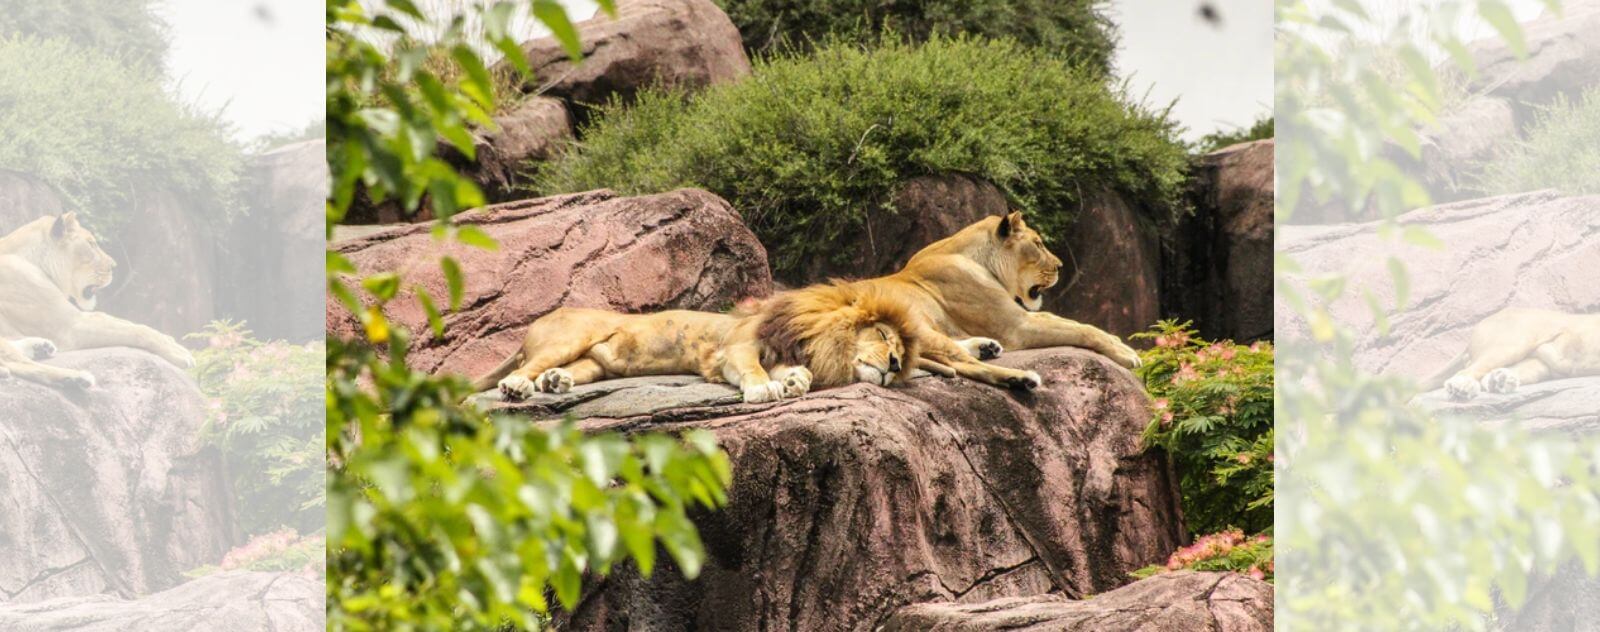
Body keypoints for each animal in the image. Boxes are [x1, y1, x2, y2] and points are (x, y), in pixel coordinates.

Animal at [0, 214, 195, 390]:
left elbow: (126, 323)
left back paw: (41, 347)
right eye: (91, 244)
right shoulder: (71, 326)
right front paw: (180, 353)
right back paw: (76, 378)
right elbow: (138, 331)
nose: (114, 266)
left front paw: (170, 340)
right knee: (23, 365)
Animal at [473, 280, 921, 403]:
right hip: (570, 336)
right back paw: (517, 386)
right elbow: (755, 370)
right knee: (523, 367)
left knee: (562, 371)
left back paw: (554, 383)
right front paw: (765, 389)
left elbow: (790, 371)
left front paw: (796, 380)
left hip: (595, 363)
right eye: (883, 335)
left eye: (900, 352)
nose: (895, 365)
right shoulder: (737, 347)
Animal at [1427, 307, 1600, 401]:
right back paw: (1464, 387)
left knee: (1485, 376)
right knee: (1465, 370)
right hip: (1514, 343)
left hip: (1540, 365)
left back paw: (1501, 381)